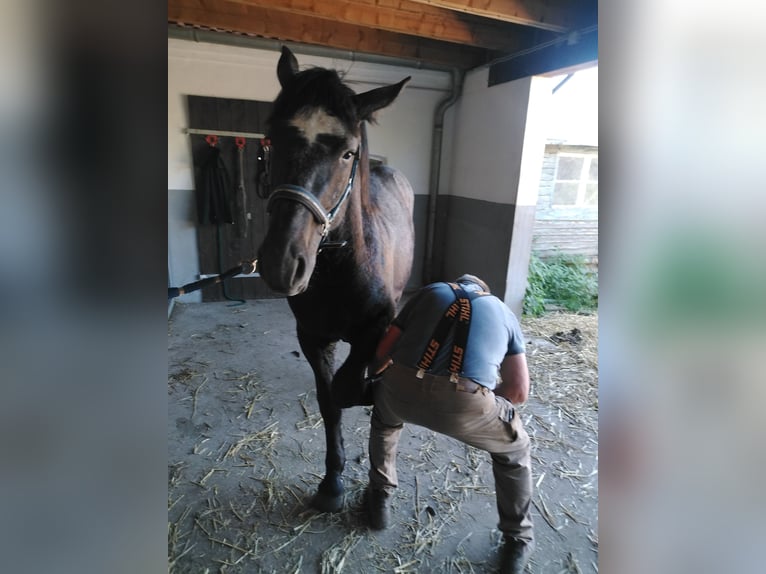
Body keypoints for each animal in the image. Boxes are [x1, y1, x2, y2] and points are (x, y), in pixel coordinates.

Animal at [258, 46, 414, 512]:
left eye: (347, 153)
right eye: (272, 138)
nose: (281, 263)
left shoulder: (376, 327)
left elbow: (347, 387)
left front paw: (369, 388)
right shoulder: (312, 337)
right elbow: (330, 401)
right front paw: (332, 481)